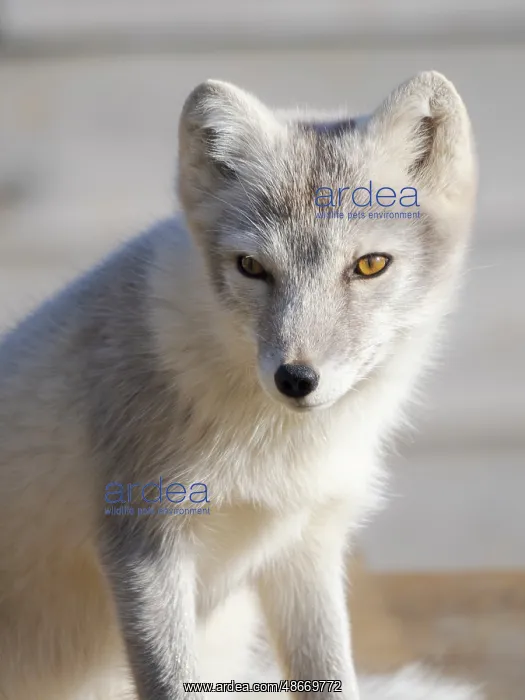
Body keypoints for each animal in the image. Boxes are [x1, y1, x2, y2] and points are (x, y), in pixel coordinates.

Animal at [0, 72, 480, 700]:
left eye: (371, 265)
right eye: (252, 267)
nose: (296, 379)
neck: (274, 449)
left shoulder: (306, 545)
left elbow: (330, 672)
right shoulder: (142, 541)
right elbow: (170, 681)